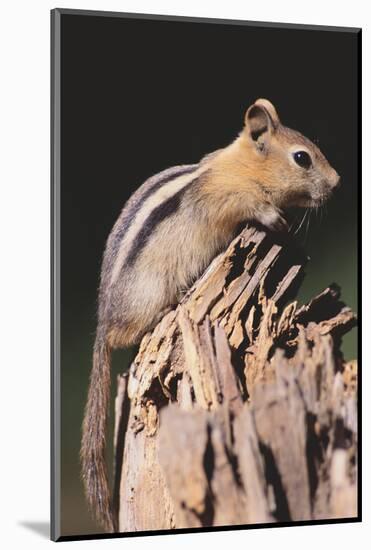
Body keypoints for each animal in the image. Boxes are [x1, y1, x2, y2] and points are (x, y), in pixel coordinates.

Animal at [80, 97, 340, 532]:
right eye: (302, 158)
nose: (337, 182)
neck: (241, 167)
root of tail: (102, 324)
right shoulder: (226, 199)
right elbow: (249, 208)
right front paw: (274, 218)